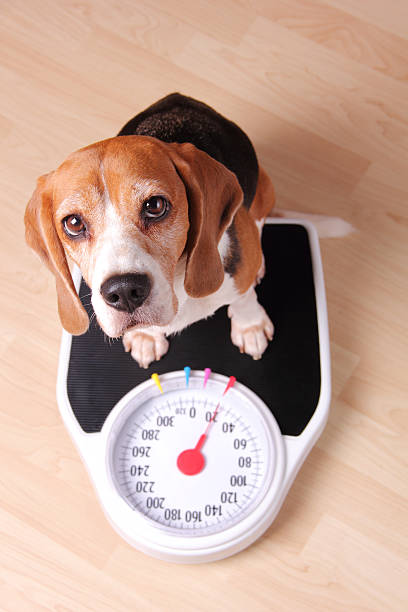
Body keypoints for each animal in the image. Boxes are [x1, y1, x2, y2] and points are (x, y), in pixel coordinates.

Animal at [24, 93, 274, 366]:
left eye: (155, 205)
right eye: (74, 223)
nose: (123, 291)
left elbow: (244, 296)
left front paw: (250, 326)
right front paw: (146, 336)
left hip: (264, 189)